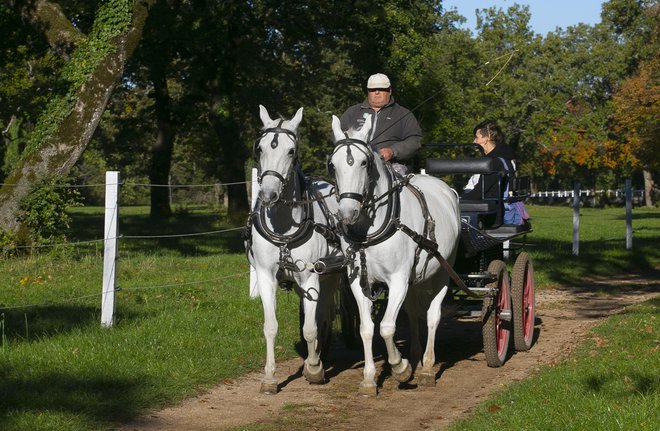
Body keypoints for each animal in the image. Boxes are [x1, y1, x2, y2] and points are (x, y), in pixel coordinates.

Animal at [245, 105, 342, 394]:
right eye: (260, 148)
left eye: (291, 151)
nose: (268, 194)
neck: (284, 227)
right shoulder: (266, 276)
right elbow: (270, 327)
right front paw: (269, 377)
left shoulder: (311, 276)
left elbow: (310, 328)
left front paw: (314, 369)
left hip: (330, 276)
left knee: (322, 315)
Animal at [328, 114, 458, 394]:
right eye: (332, 165)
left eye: (364, 163)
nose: (347, 213)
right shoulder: (359, 282)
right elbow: (367, 328)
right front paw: (369, 378)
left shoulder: (397, 280)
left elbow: (387, 327)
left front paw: (400, 367)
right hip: (414, 279)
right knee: (413, 313)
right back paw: (417, 355)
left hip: (444, 270)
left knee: (432, 316)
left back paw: (427, 367)